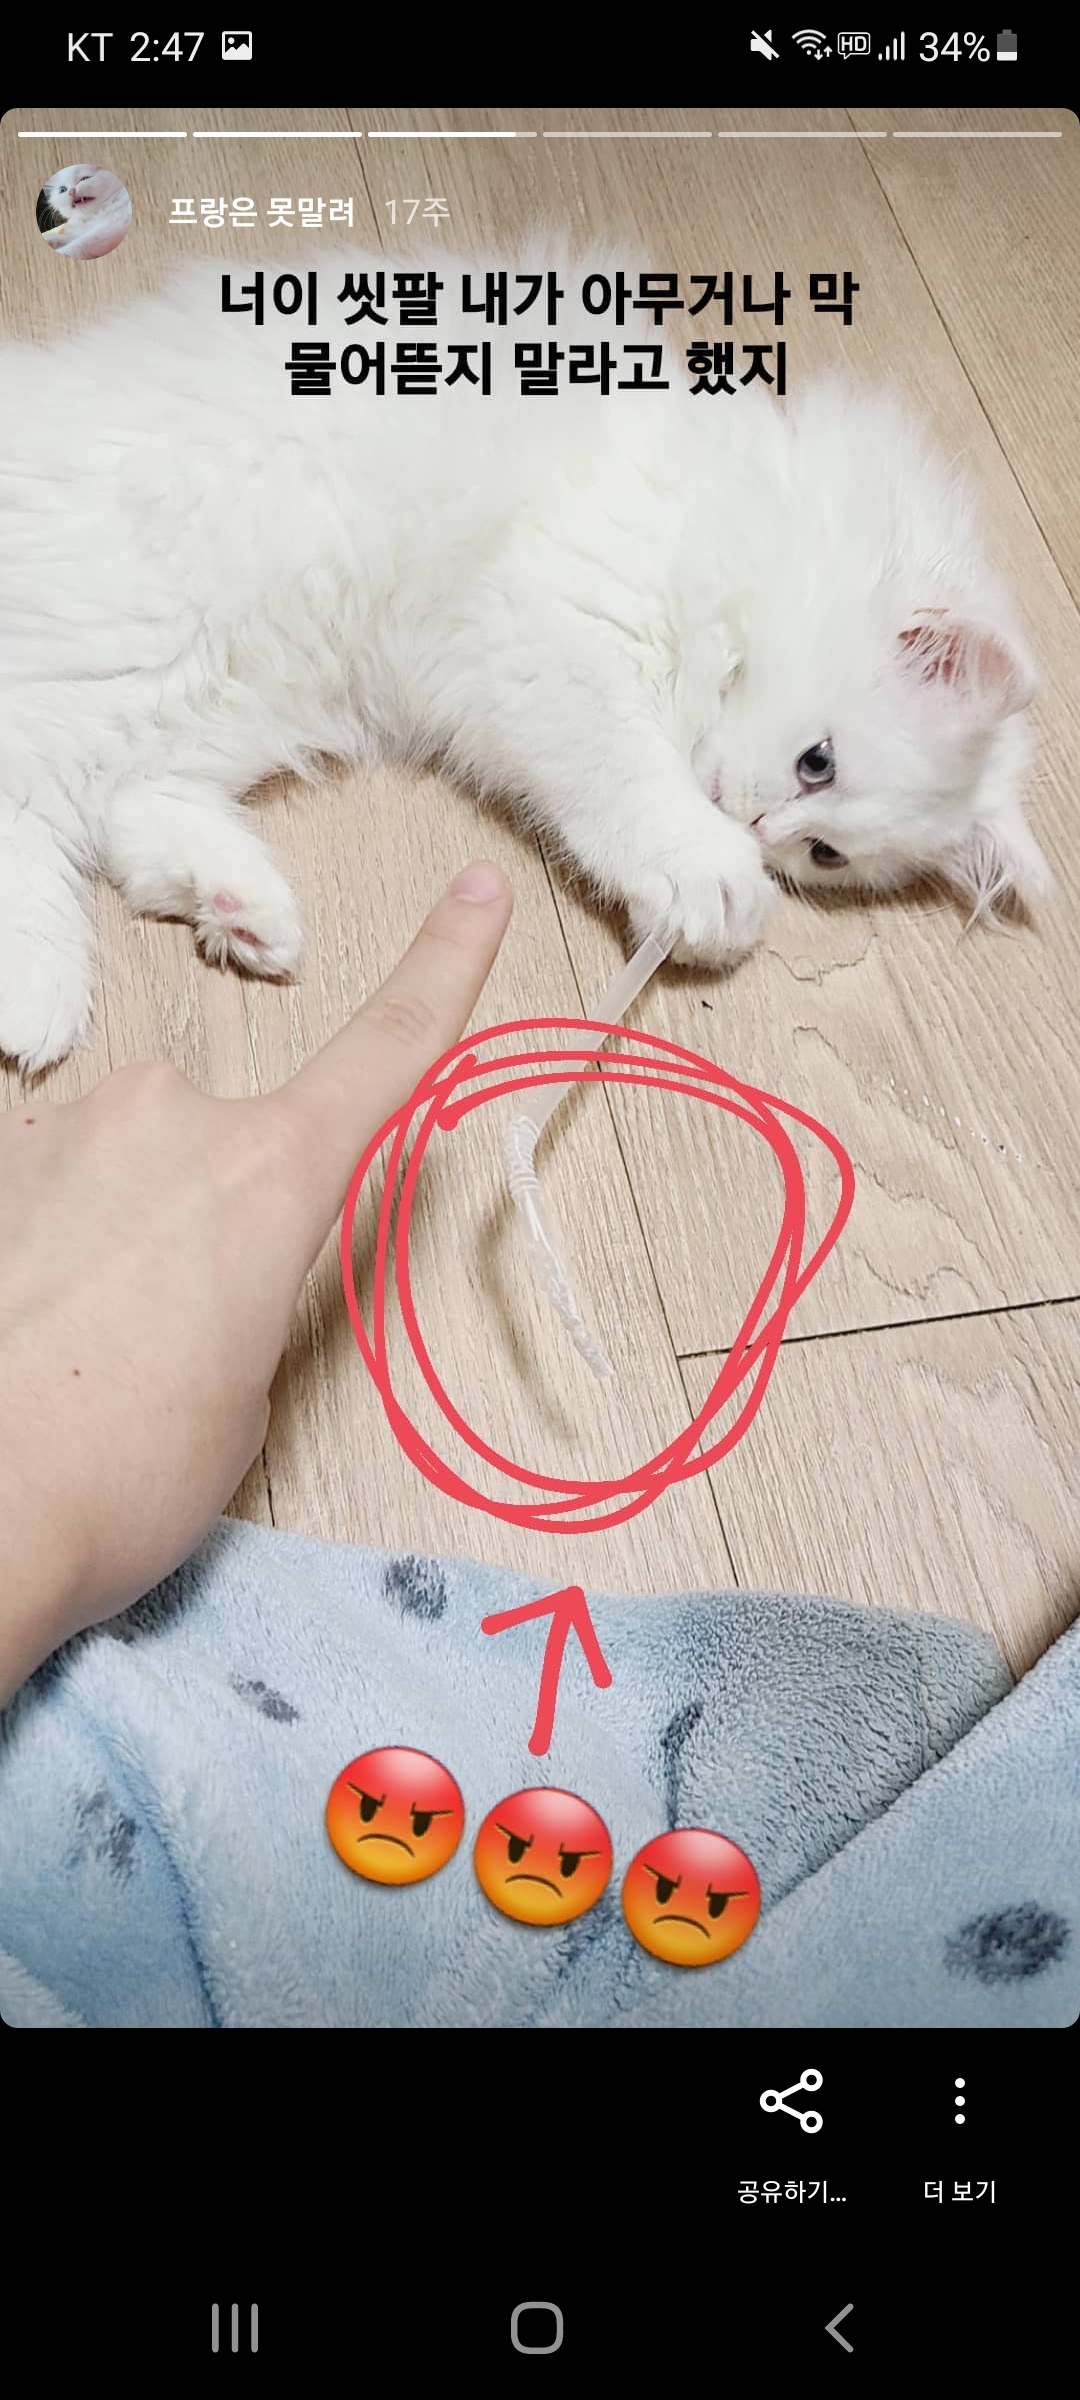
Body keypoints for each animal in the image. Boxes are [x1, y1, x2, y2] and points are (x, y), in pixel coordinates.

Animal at [0, 242, 1052, 1072]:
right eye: (817, 760)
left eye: (826, 856)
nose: (760, 828)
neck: (750, 525)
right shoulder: (559, 632)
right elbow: (630, 780)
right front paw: (711, 877)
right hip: (157, 635)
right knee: (32, 783)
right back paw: (39, 992)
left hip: (244, 689)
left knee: (129, 808)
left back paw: (243, 909)